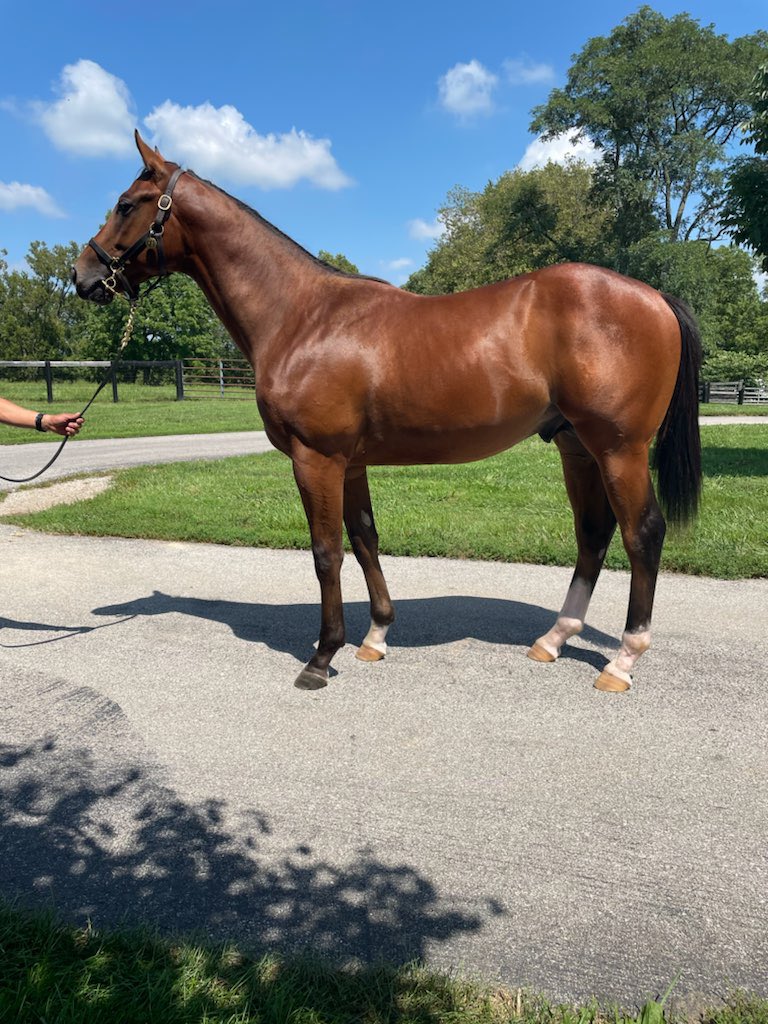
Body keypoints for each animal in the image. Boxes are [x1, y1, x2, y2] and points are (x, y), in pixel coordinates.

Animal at [72, 131, 702, 694]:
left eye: (126, 204)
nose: (82, 275)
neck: (301, 315)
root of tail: (653, 296)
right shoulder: (350, 463)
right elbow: (365, 539)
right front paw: (375, 637)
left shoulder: (316, 458)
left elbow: (326, 553)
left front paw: (322, 657)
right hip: (577, 446)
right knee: (593, 533)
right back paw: (552, 640)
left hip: (619, 448)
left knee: (642, 533)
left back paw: (622, 660)